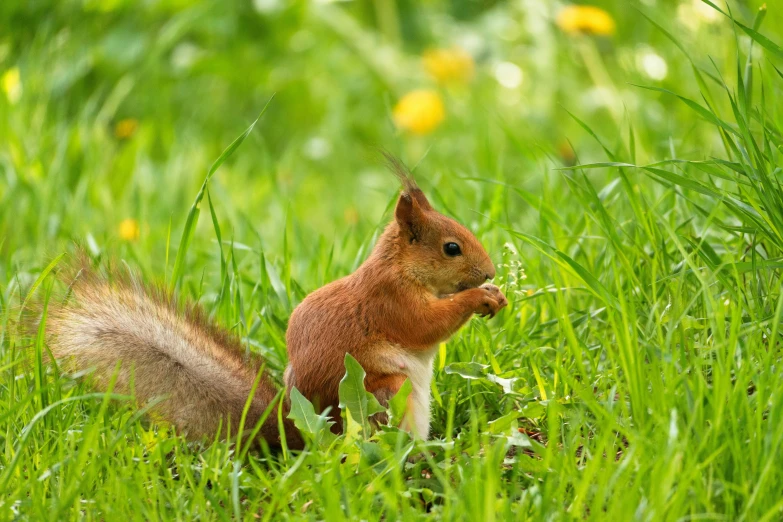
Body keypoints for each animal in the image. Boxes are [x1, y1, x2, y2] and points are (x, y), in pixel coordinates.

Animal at [39, 153, 508, 446]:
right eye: (451, 248)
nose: (489, 272)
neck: (402, 268)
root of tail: (303, 441)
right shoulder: (390, 300)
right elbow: (426, 325)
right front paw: (479, 298)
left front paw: (495, 294)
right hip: (385, 393)